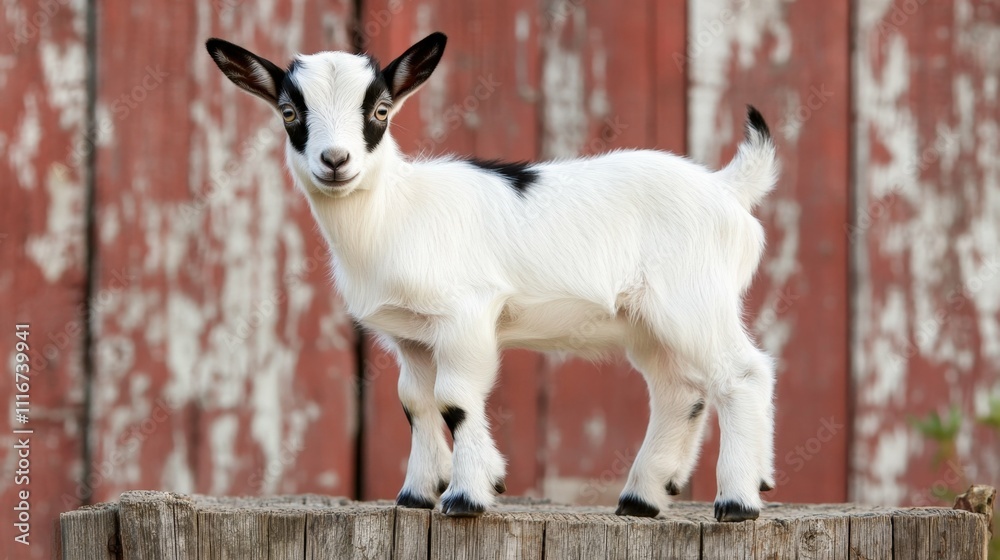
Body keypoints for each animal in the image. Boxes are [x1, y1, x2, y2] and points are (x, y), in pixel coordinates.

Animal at [206, 32, 778, 522]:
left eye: (380, 111)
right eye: (288, 112)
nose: (335, 160)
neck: (396, 211)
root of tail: (727, 188)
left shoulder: (466, 314)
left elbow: (456, 400)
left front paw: (466, 496)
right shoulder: (411, 335)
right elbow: (415, 402)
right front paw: (417, 494)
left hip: (692, 299)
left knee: (743, 372)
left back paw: (738, 500)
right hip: (647, 321)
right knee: (680, 390)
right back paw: (642, 498)